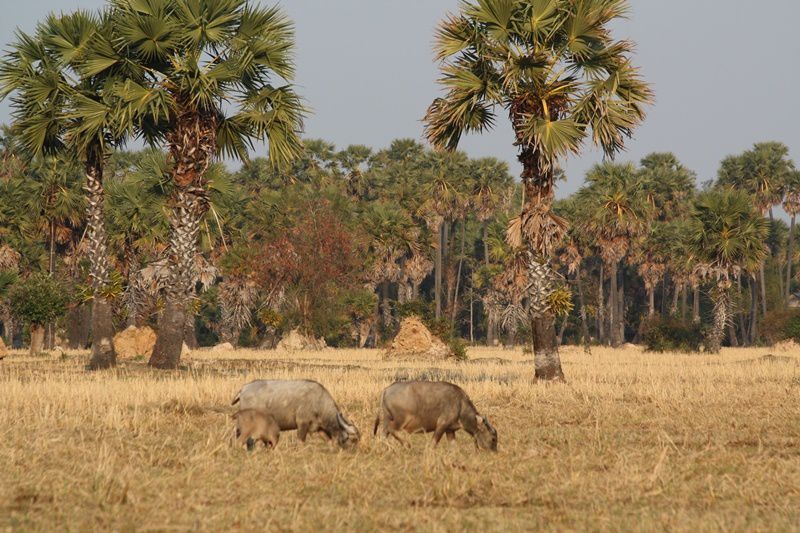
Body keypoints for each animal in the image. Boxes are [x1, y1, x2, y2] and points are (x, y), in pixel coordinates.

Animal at [230, 378, 358, 448]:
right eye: (351, 439)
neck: (319, 401)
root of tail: (244, 388)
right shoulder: (302, 424)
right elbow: (301, 441)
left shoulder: (319, 428)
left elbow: (329, 440)